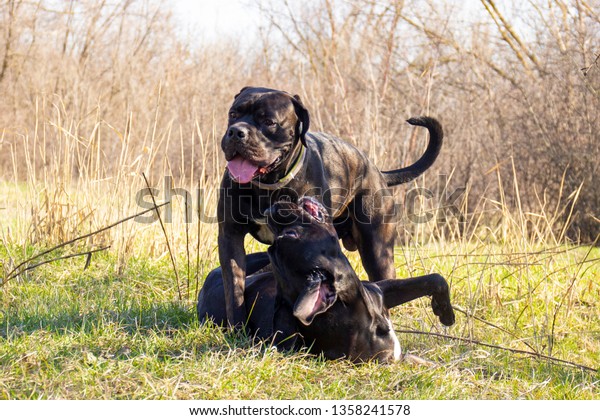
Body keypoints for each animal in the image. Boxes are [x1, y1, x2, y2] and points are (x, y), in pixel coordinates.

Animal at [216, 87, 440, 326]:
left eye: (268, 121)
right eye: (233, 114)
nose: (236, 132)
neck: (268, 185)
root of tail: (377, 172)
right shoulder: (230, 237)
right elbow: (234, 289)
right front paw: (236, 326)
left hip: (379, 253)